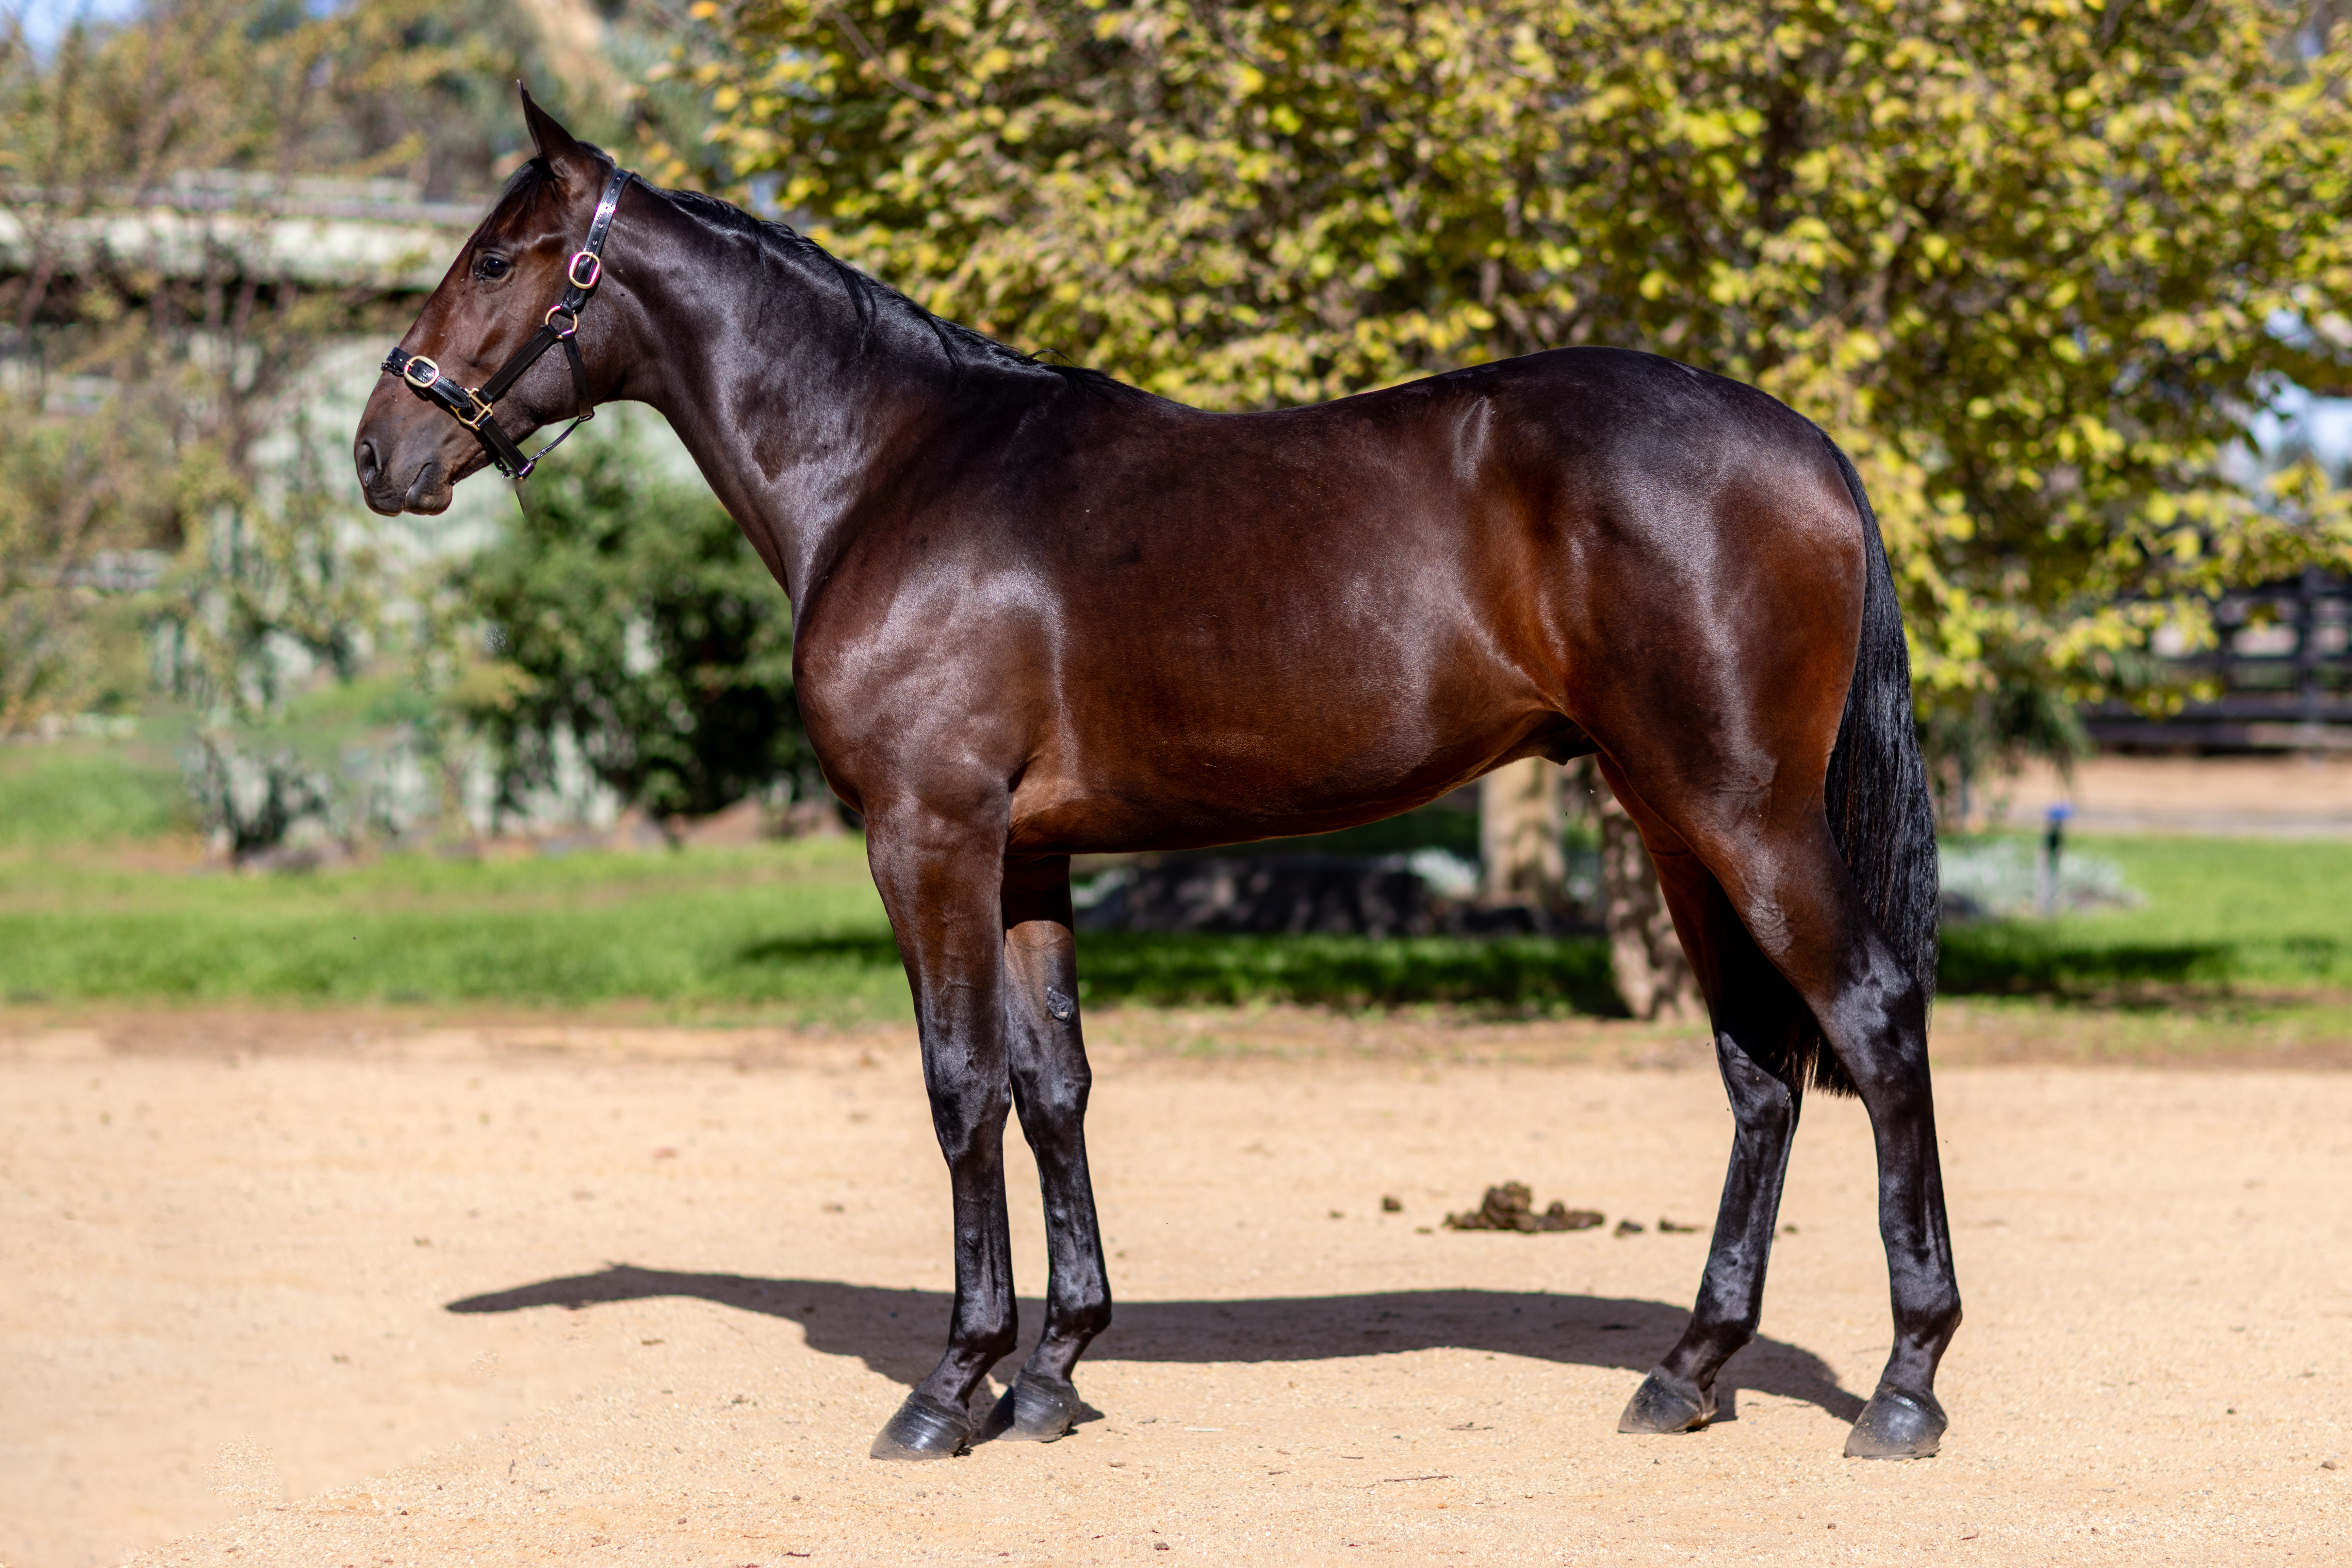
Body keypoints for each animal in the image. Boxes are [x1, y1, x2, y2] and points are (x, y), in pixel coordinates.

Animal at [356, 90, 1959, 1464]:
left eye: (493, 255)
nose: (380, 451)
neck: (889, 469)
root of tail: (1805, 447)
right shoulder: (1024, 853)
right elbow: (1053, 1084)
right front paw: (1054, 1371)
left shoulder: (925, 836)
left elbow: (959, 1088)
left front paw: (951, 1384)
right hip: (1673, 821)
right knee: (1760, 1071)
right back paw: (1687, 1369)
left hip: (1741, 812)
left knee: (1873, 1021)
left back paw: (1903, 1384)